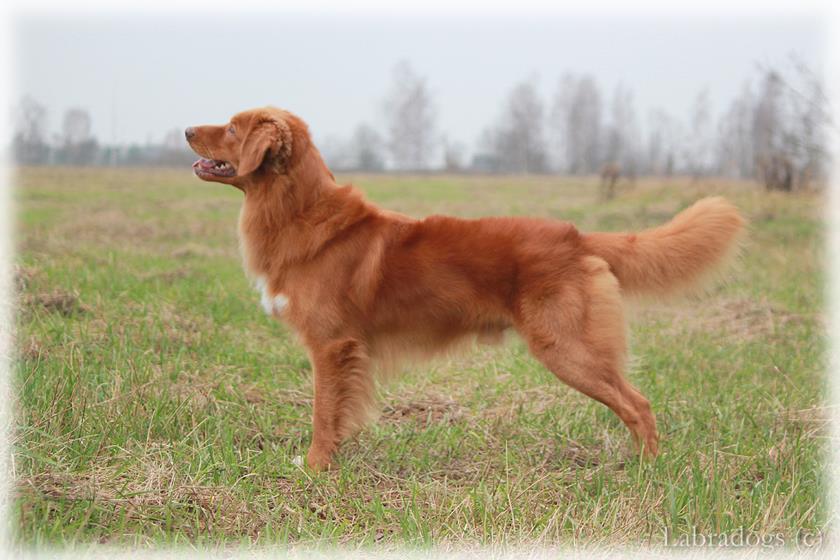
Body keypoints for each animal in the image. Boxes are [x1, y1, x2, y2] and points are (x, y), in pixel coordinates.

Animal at [186, 106, 745, 471]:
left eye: (232, 127)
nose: (187, 128)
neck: (300, 211)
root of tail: (576, 236)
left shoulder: (331, 346)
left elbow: (325, 412)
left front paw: (316, 466)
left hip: (568, 349)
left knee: (639, 404)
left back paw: (648, 473)